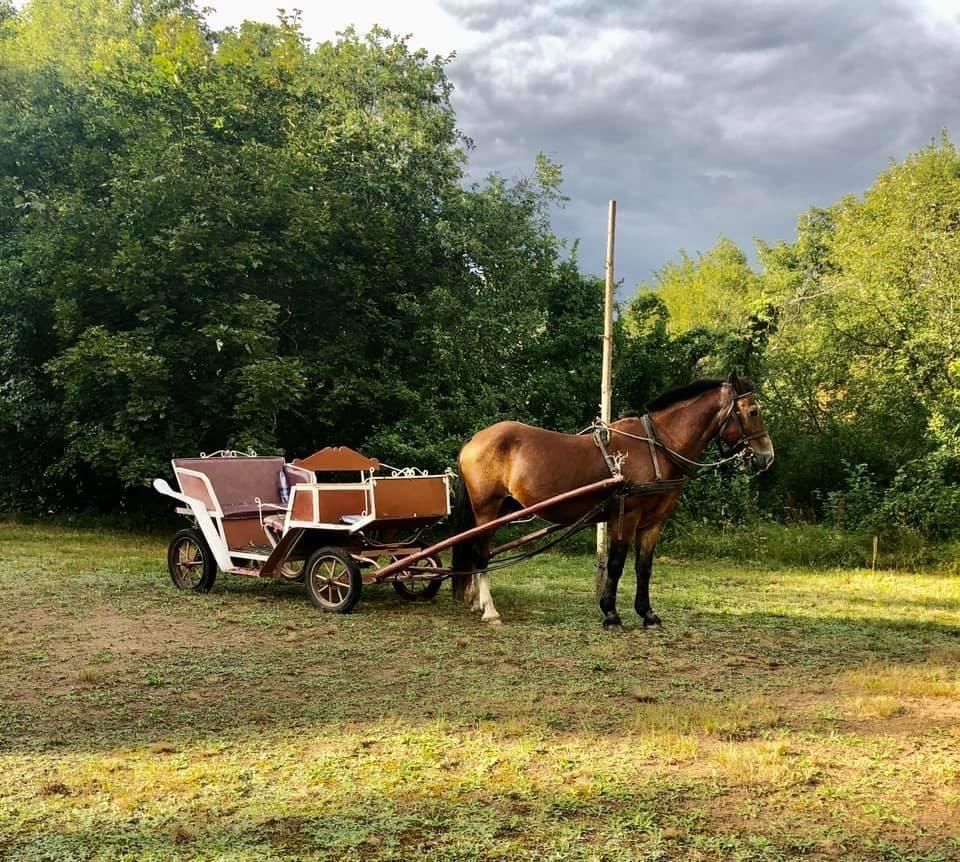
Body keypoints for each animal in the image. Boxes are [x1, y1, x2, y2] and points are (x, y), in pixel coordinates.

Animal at [448, 374, 772, 624]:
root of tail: (474, 440)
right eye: (753, 411)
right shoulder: (625, 515)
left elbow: (644, 567)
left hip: (500, 509)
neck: (657, 447)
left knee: (479, 551)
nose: (767, 457)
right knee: (480, 553)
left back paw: (477, 601)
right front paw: (611, 614)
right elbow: (616, 563)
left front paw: (647, 614)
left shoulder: (652, 523)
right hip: (487, 508)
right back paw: (490, 610)